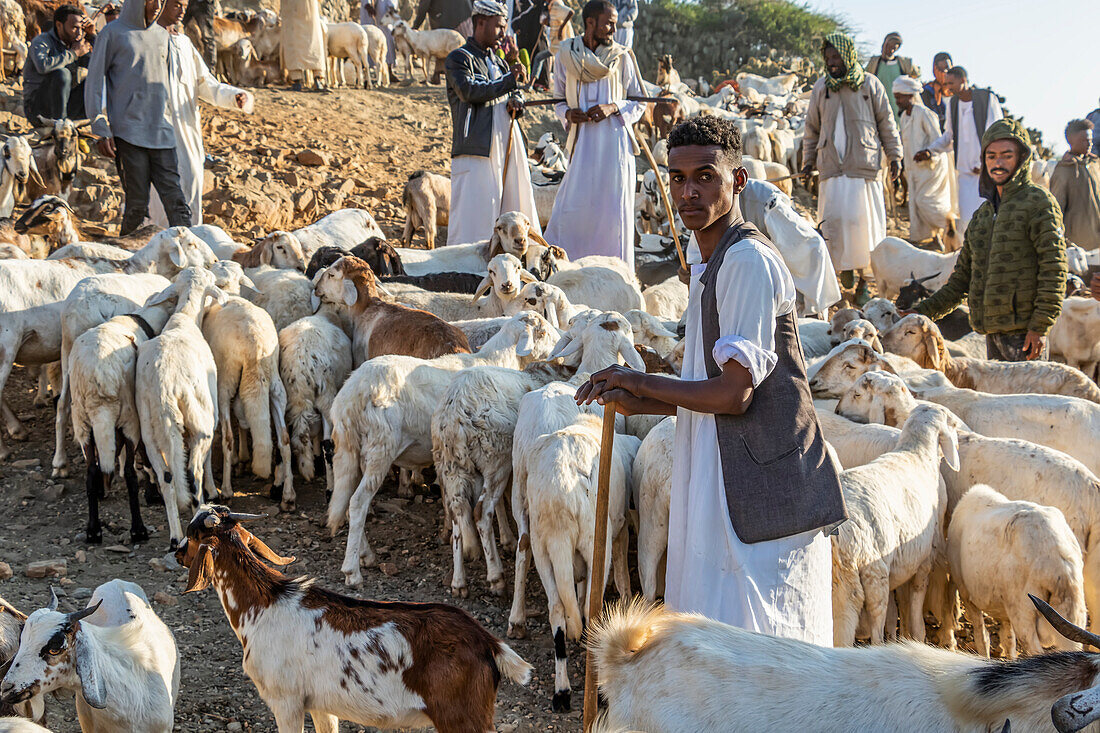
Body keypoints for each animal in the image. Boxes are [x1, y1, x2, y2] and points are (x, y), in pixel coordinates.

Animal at [179, 506, 532, 730]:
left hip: (462, 717)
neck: (264, 605)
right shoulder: (319, 705)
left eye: (191, 535)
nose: (176, 550)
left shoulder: (286, 701)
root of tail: (486, 641)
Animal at [831, 400, 954, 647]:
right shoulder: (924, 559)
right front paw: (917, 636)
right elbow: (915, 605)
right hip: (866, 578)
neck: (915, 452)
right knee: (874, 624)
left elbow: (893, 615)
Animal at [950, 482, 1086, 660]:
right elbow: (1008, 640)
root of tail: (1059, 559)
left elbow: (982, 637)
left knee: (1033, 649)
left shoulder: (967, 594)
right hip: (1072, 611)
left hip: (1023, 611)